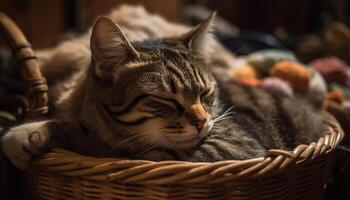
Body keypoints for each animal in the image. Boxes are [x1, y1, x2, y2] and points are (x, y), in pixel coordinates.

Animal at [0, 5, 326, 167]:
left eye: (205, 94)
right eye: (166, 100)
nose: (202, 122)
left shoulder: (236, 147)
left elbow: (109, 146)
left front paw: (28, 135)